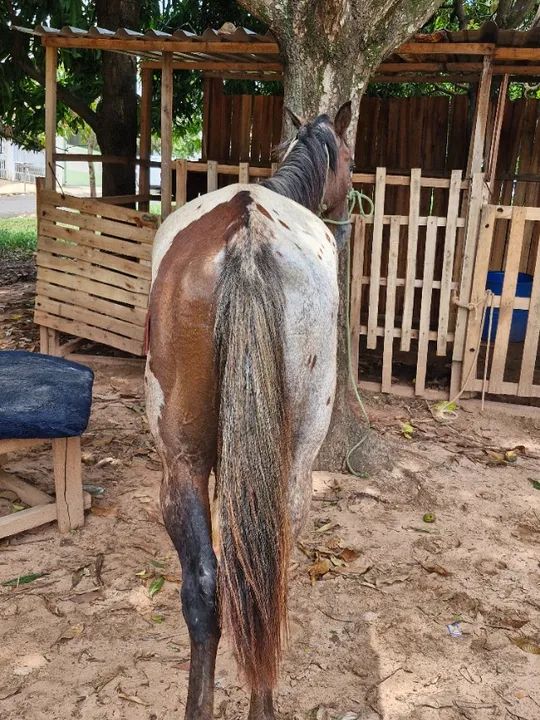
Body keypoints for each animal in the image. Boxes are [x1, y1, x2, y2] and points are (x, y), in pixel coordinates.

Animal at [145, 102, 353, 720]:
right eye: (349, 158)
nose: (346, 211)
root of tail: (246, 232)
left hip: (182, 464)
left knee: (206, 589)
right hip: (295, 465)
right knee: (269, 582)